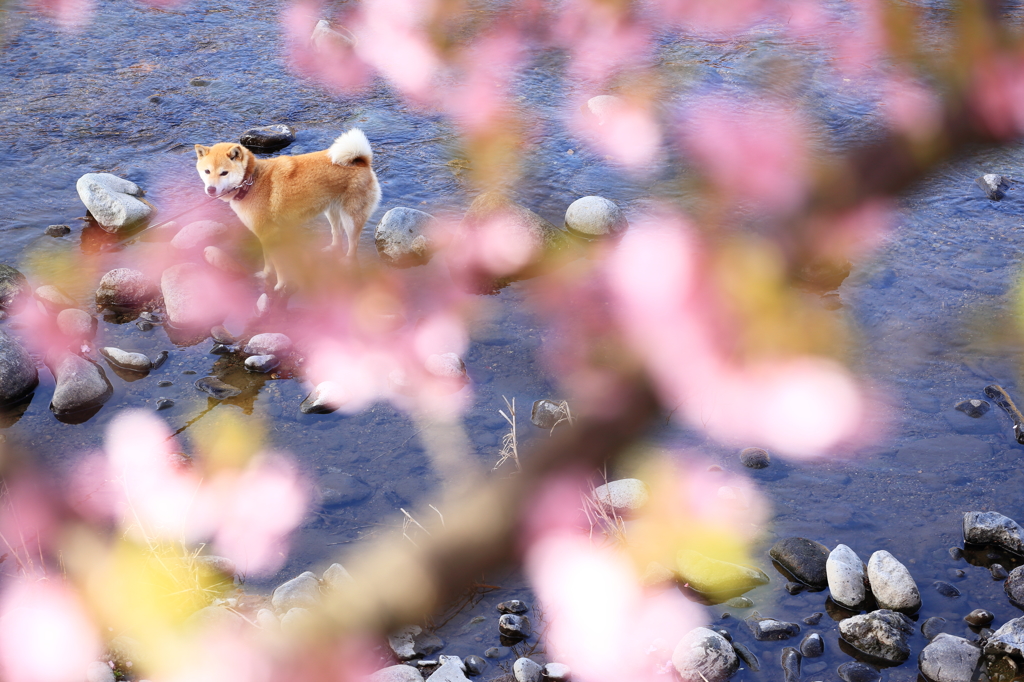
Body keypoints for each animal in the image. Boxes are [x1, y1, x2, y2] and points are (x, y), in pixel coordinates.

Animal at [193, 129, 382, 292]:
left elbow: (278, 266)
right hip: (331, 211)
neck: (250, 182)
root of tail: (361, 161)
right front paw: (265, 275)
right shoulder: (264, 236)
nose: (210, 189)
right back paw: (331, 250)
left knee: (353, 244)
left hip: (350, 218)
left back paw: (348, 262)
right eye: (207, 171)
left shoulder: (270, 235)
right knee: (337, 233)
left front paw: (280, 285)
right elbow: (268, 261)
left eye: (224, 173)